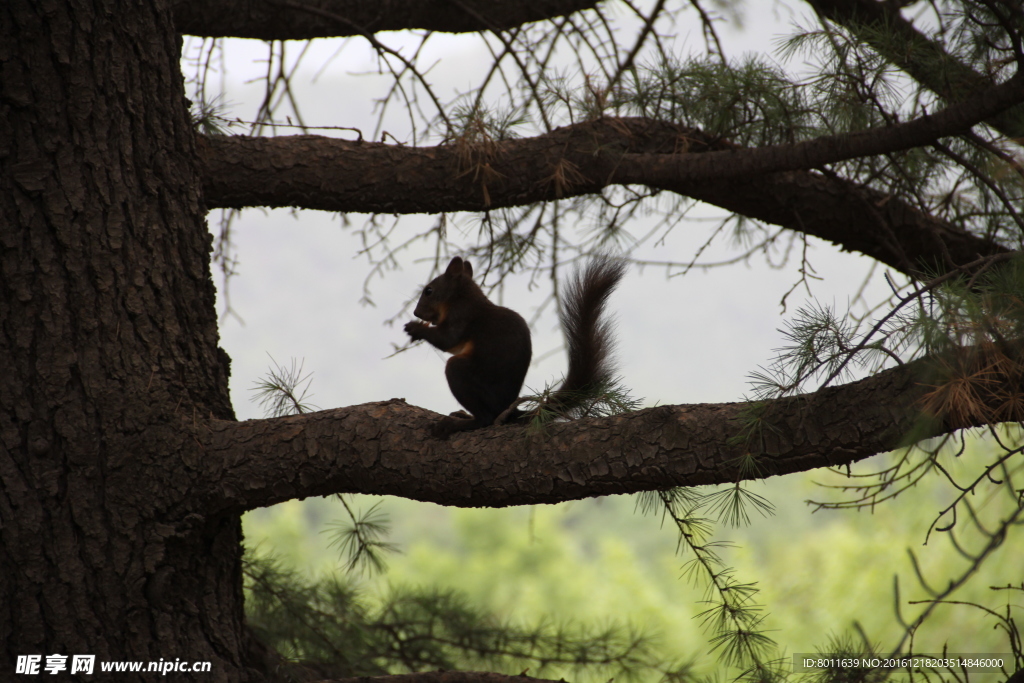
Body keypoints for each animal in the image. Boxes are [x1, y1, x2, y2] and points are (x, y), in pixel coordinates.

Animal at [403, 254, 618, 438]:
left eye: (429, 291)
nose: (416, 312)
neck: (462, 296)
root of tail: (509, 408)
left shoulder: (461, 316)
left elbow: (448, 340)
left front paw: (415, 329)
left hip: (464, 374)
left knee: (486, 418)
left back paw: (458, 424)